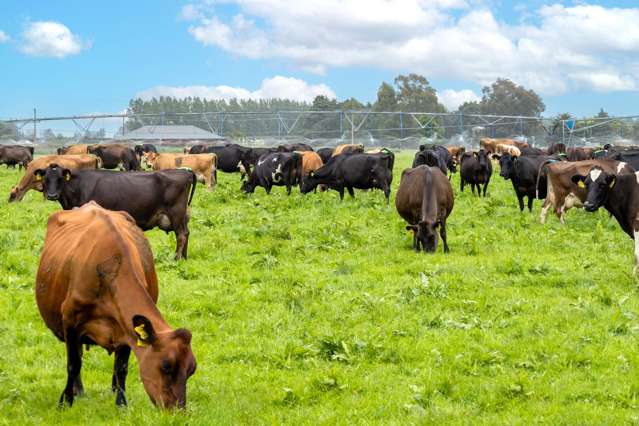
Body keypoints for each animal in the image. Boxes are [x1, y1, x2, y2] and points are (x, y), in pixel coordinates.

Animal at [33, 166, 195, 260]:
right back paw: (184, 257)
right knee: (186, 233)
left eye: (60, 178)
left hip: (176, 212)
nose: (52, 195)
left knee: (181, 235)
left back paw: (176, 258)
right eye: (46, 178)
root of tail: (185, 171)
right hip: (182, 216)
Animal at [34, 203, 195, 410]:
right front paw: (65, 401)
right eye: (166, 365)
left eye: (191, 370)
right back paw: (78, 390)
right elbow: (73, 364)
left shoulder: (126, 327)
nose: (177, 409)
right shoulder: (70, 321)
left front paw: (121, 403)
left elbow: (122, 367)